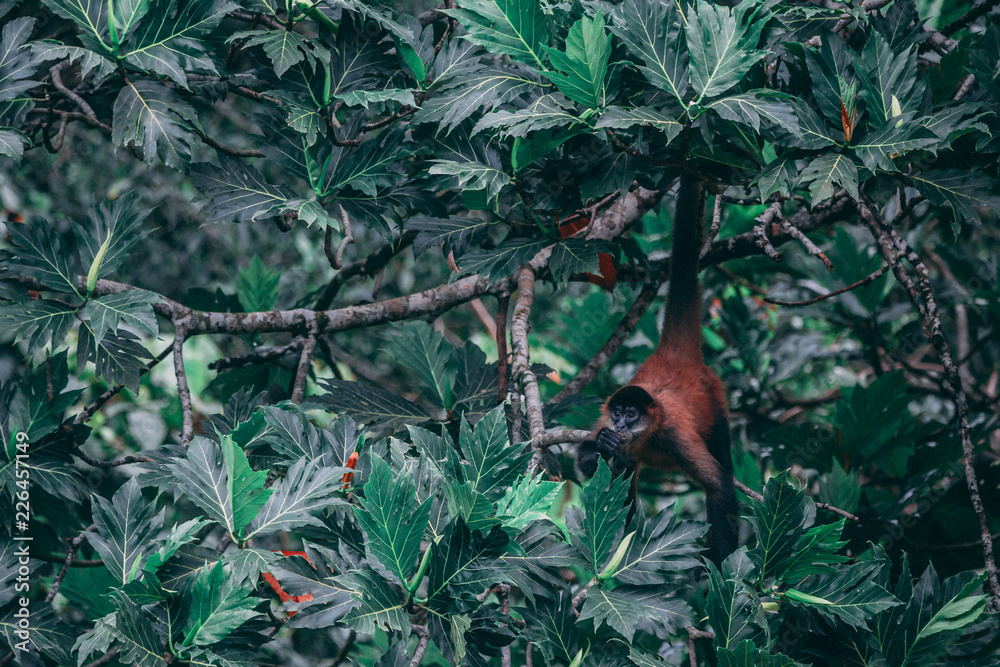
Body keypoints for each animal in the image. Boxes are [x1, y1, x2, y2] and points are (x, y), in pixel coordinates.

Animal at [576, 171, 738, 566]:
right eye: (618, 412)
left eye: (632, 415)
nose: (621, 425)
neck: (647, 434)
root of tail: (674, 356)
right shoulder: (608, 425)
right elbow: (586, 464)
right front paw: (601, 446)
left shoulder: (673, 434)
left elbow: (720, 487)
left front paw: (724, 571)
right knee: (623, 475)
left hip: (715, 397)